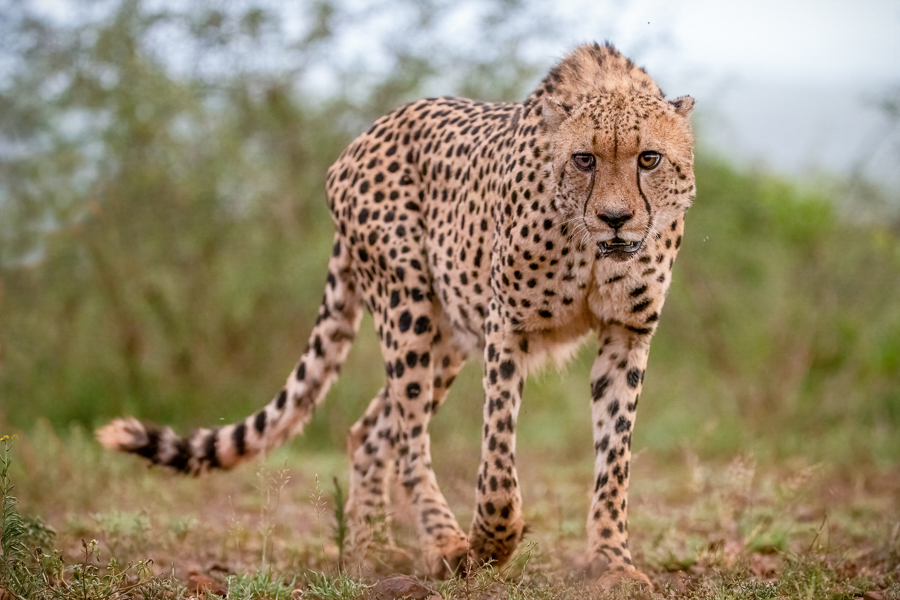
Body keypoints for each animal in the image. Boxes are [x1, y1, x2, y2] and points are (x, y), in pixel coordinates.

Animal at [98, 41, 695, 589]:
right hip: (407, 306)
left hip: (449, 336)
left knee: (370, 431)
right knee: (408, 435)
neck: (591, 247)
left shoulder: (626, 335)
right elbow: (497, 456)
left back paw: (373, 552)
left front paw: (612, 563)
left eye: (649, 158)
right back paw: (443, 543)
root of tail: (362, 138)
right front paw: (491, 542)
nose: (615, 218)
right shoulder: (507, 327)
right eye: (584, 159)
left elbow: (614, 459)